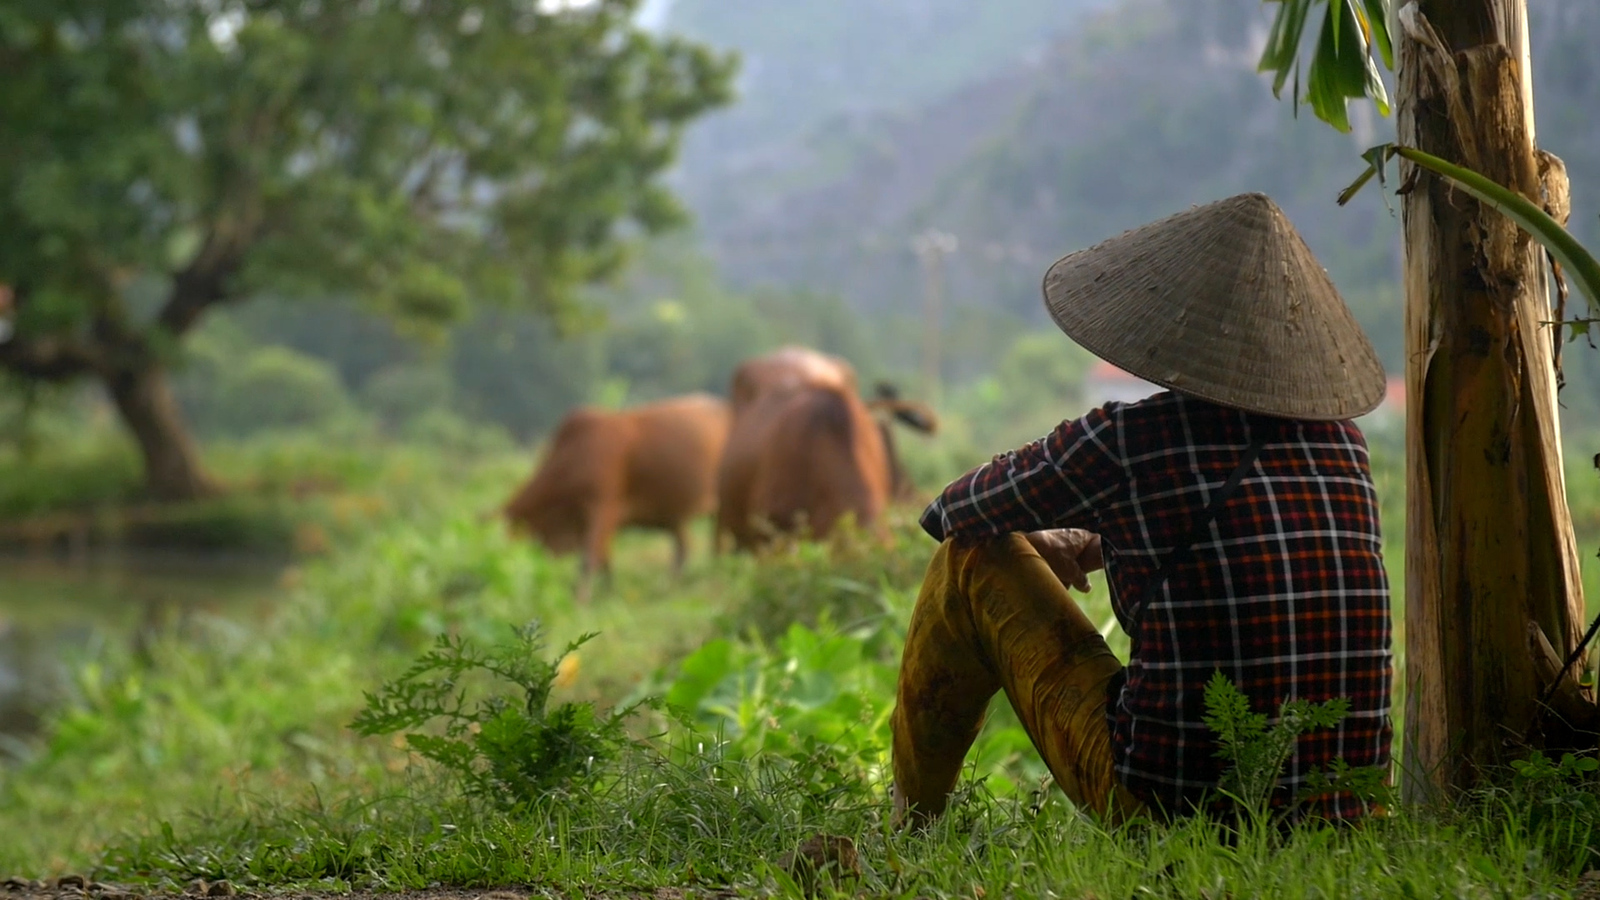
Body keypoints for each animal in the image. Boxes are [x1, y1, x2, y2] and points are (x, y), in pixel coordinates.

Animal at [499, 389, 732, 592]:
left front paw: (581, 600)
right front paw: (609, 592)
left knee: (716, 541)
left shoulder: (604, 507)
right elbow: (605, 560)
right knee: (683, 549)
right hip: (675, 516)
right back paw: (670, 585)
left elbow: (589, 560)